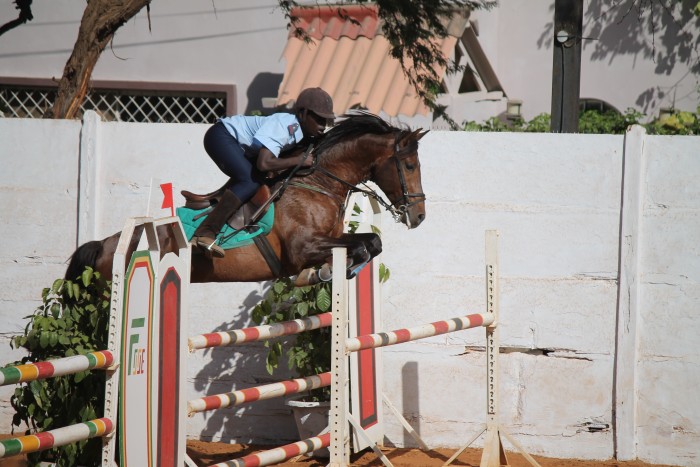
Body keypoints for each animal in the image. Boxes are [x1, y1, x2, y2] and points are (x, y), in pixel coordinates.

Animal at [64, 112, 427, 285]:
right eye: (410, 165)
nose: (420, 216)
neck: (319, 182)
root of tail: (107, 244)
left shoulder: (331, 239)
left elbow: (370, 243)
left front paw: (323, 273)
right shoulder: (302, 248)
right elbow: (361, 246)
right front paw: (321, 273)